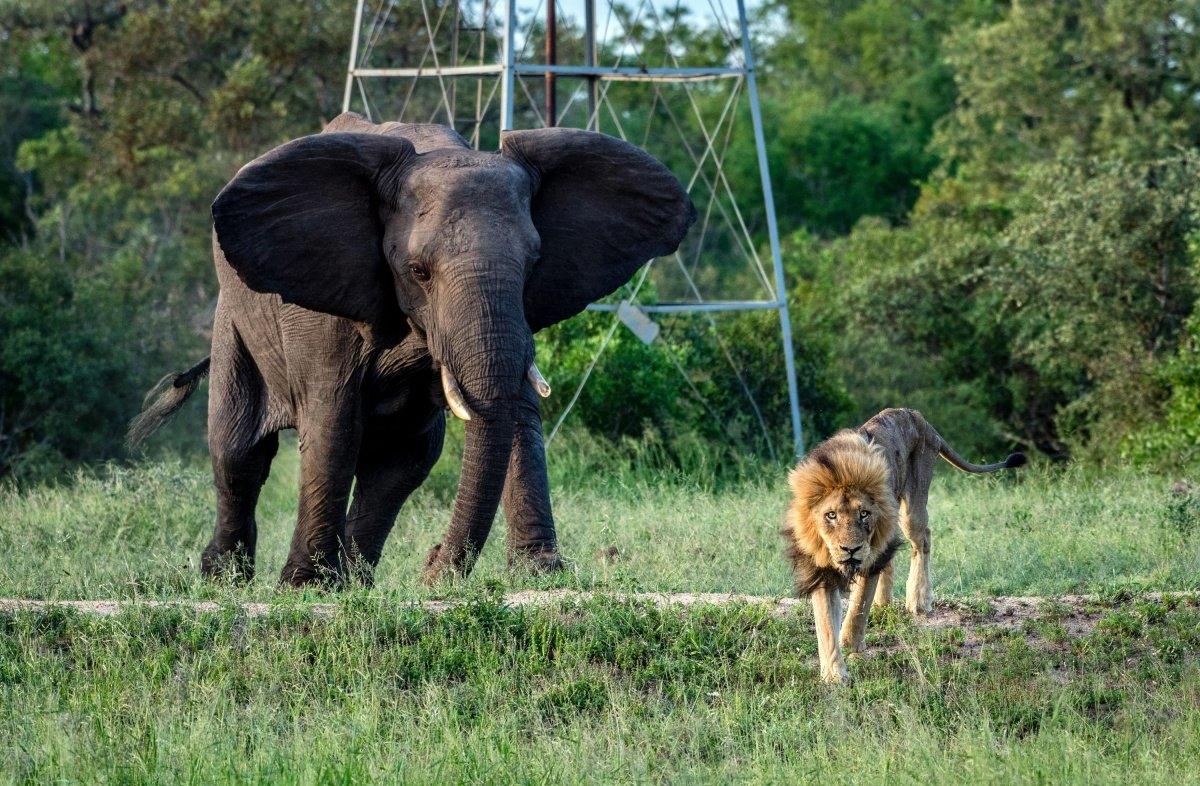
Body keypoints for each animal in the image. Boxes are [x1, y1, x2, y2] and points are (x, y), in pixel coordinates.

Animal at [130, 114, 696, 588]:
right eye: (418, 272)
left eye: (534, 263)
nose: (432, 563)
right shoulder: (322, 308)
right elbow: (332, 426)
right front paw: (304, 587)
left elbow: (514, 411)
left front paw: (542, 574)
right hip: (234, 323)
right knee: (237, 451)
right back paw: (224, 580)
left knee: (405, 458)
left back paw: (354, 581)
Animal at [782, 405, 1027, 681]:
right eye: (831, 515)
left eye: (863, 514)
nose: (851, 550)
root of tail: (920, 418)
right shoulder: (821, 567)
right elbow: (825, 624)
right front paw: (834, 675)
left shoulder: (870, 556)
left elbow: (858, 607)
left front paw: (850, 643)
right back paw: (882, 604)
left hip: (913, 505)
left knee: (923, 540)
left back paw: (918, 600)